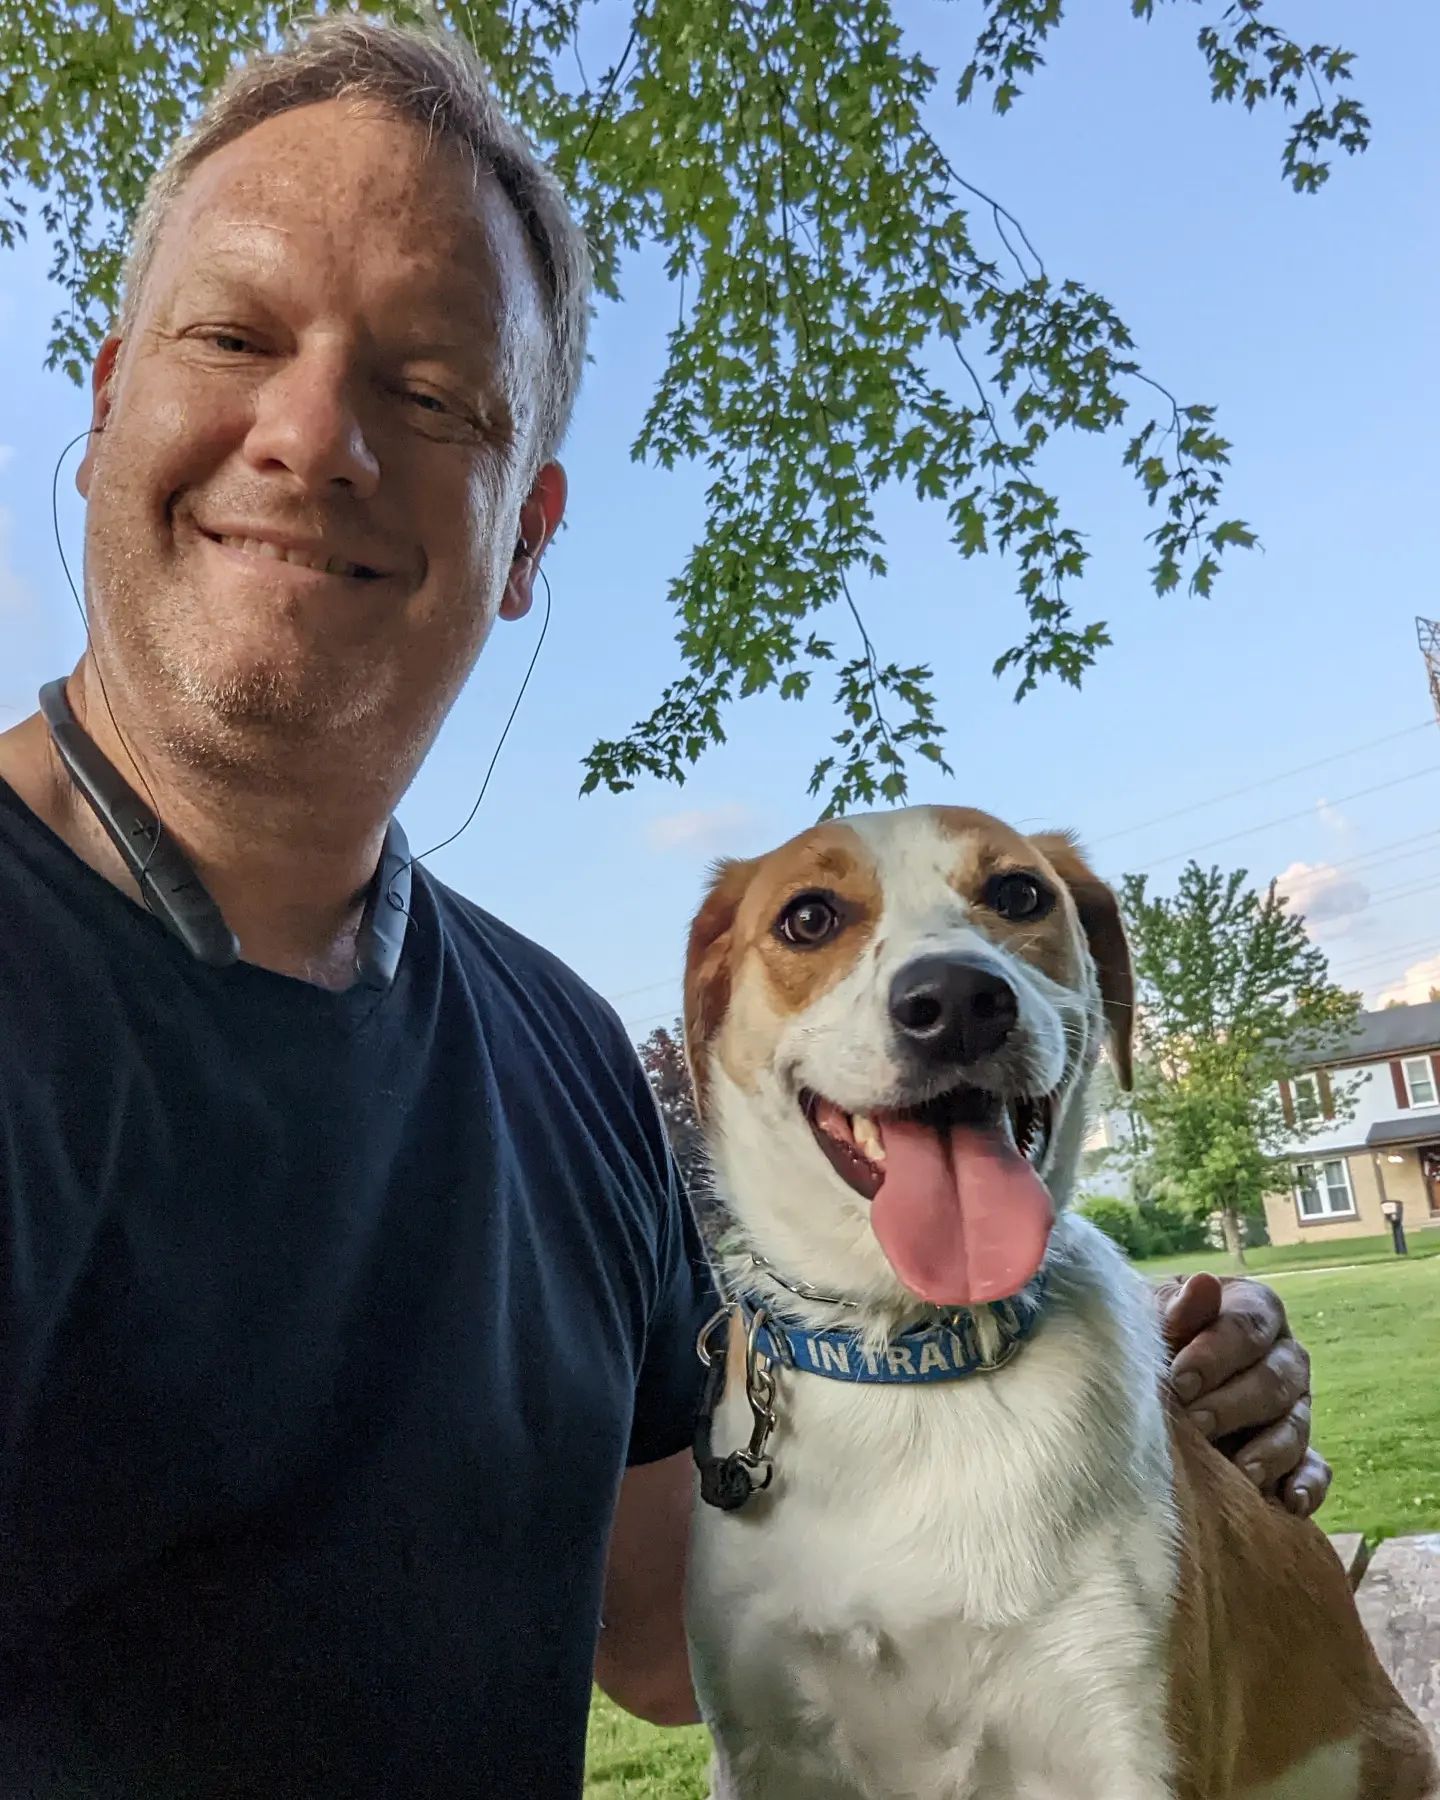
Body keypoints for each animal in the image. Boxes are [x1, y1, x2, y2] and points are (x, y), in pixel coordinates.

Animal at [680, 806, 1432, 1800]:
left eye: (1017, 892)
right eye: (808, 918)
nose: (956, 999)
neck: (918, 1360)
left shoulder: (1122, 1730)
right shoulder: (770, 1750)